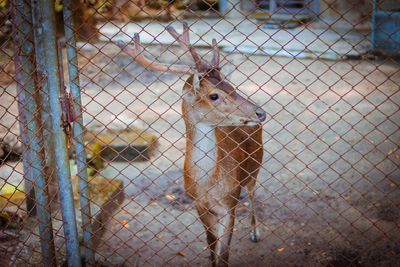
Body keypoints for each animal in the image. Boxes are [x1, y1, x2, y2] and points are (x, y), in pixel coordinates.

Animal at [117, 22, 268, 266]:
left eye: (231, 86)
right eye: (214, 96)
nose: (260, 112)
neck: (208, 184)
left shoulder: (229, 203)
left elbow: (224, 254)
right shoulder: (199, 205)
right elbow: (211, 247)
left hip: (256, 165)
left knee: (253, 193)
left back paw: (255, 233)